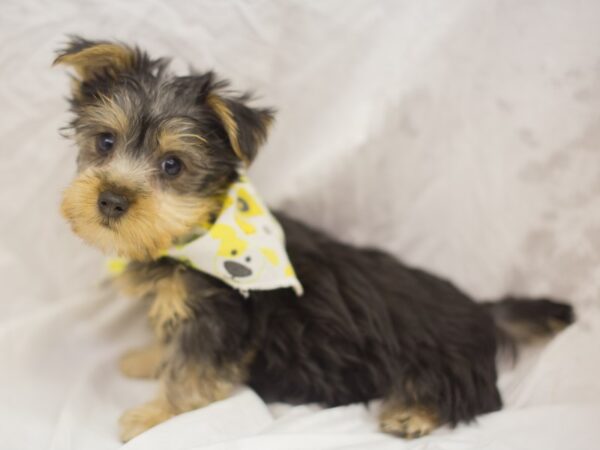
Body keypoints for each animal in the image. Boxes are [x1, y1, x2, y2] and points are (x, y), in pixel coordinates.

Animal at [54, 36, 576, 442]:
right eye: (105, 142)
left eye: (172, 166)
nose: (111, 200)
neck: (201, 235)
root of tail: (481, 312)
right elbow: (171, 342)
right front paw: (148, 358)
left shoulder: (220, 320)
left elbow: (194, 371)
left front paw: (154, 417)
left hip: (441, 357)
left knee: (477, 396)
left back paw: (413, 413)